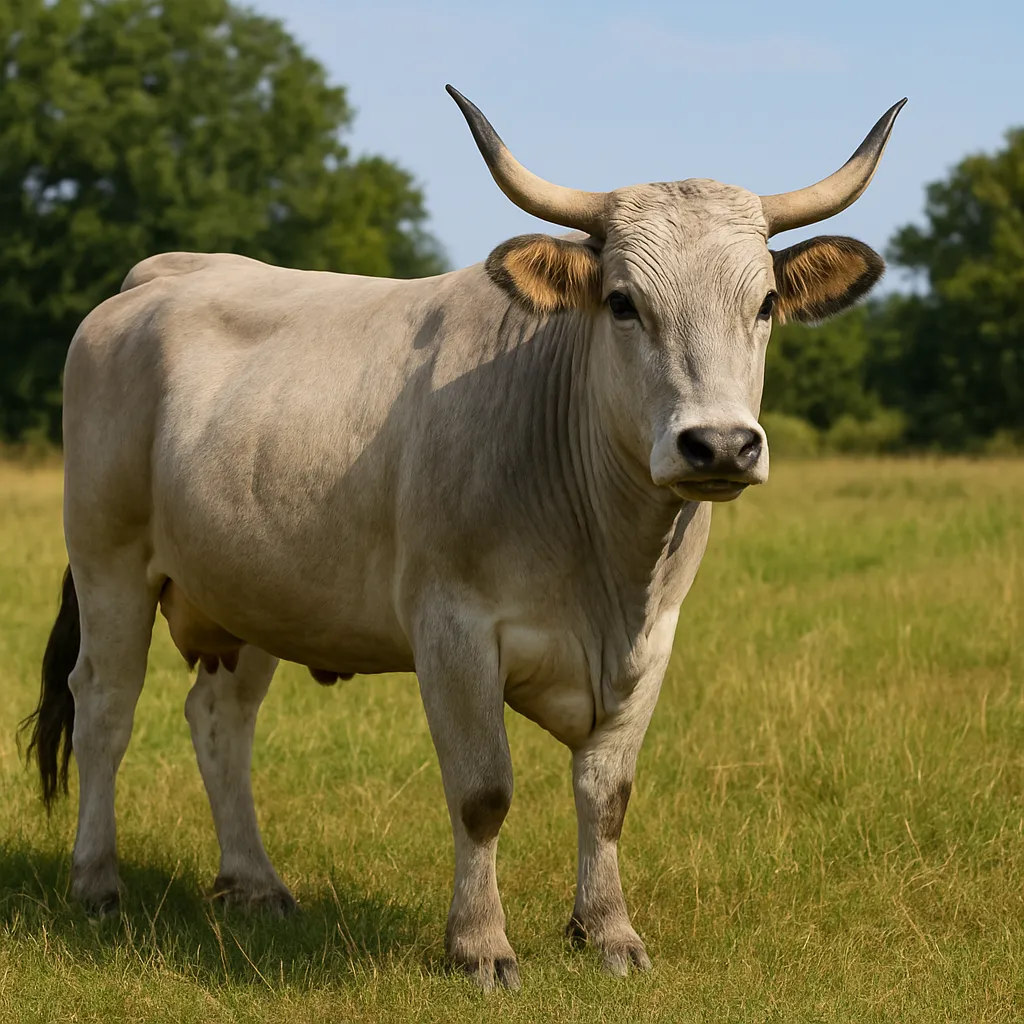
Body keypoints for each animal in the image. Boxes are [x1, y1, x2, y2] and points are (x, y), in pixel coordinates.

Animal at [21, 86, 904, 991]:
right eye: (624, 302)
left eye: (762, 304)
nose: (720, 445)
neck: (608, 565)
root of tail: (159, 276)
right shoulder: (453, 630)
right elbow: (483, 793)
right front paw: (480, 944)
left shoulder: (654, 640)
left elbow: (607, 793)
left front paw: (609, 931)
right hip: (109, 561)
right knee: (104, 706)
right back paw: (96, 882)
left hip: (249, 590)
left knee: (219, 719)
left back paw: (254, 882)